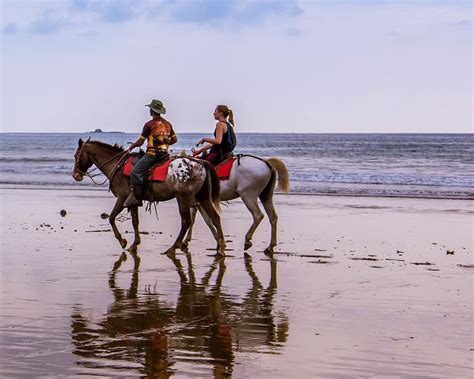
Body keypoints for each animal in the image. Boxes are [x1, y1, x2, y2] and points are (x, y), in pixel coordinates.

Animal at [71, 138, 226, 256]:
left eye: (76, 155)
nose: (75, 175)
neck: (117, 166)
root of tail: (201, 164)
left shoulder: (122, 198)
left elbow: (112, 218)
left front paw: (122, 241)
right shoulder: (133, 201)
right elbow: (135, 222)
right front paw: (134, 244)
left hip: (183, 197)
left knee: (186, 221)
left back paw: (173, 248)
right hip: (203, 197)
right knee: (215, 217)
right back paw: (221, 248)